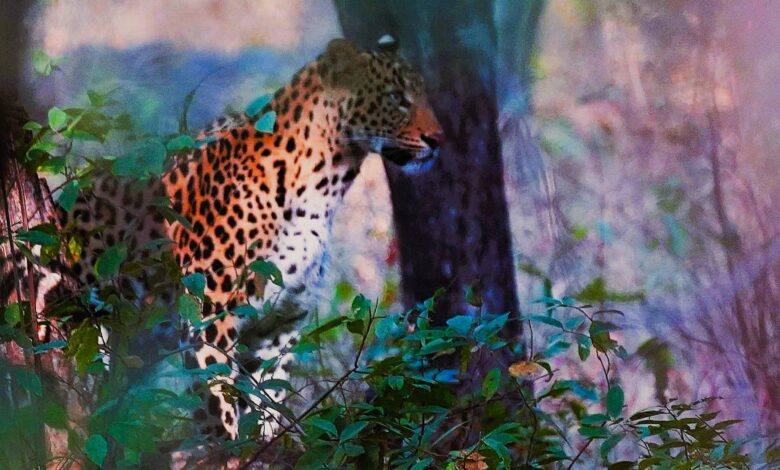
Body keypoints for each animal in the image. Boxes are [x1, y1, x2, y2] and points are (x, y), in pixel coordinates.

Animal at [46, 36, 444, 441]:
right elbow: (218, 405)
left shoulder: (278, 327)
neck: (326, 185)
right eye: (396, 97)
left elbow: (265, 406)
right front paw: (226, 446)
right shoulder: (209, 318)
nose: (438, 139)